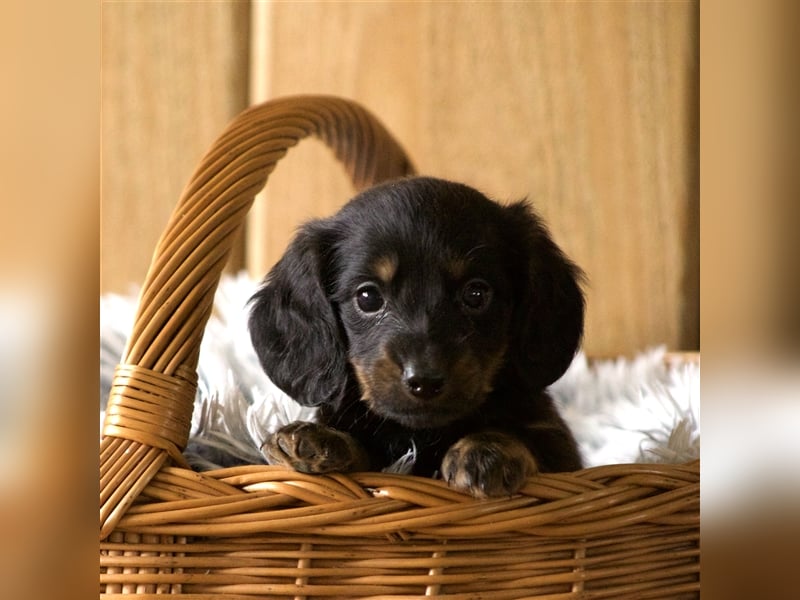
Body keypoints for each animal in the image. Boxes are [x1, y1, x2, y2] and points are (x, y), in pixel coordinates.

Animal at [247, 177, 584, 496]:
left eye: (476, 294)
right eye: (368, 297)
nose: (424, 381)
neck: (421, 434)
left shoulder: (560, 447)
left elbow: (528, 440)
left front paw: (486, 450)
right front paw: (322, 439)